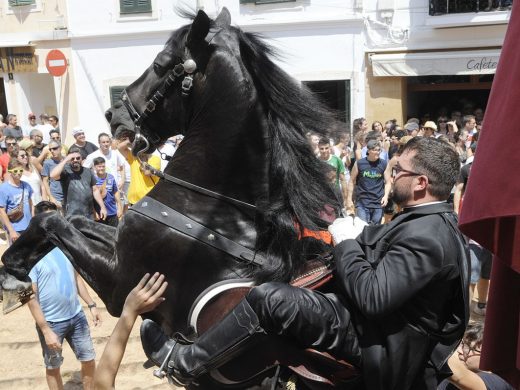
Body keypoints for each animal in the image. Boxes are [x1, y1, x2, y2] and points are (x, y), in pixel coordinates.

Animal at [3, 7, 350, 388]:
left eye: (160, 63)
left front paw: (13, 270)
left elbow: (51, 218)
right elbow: (72, 217)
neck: (214, 214)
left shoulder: (119, 283)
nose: (113, 115)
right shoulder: (119, 240)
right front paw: (15, 266)